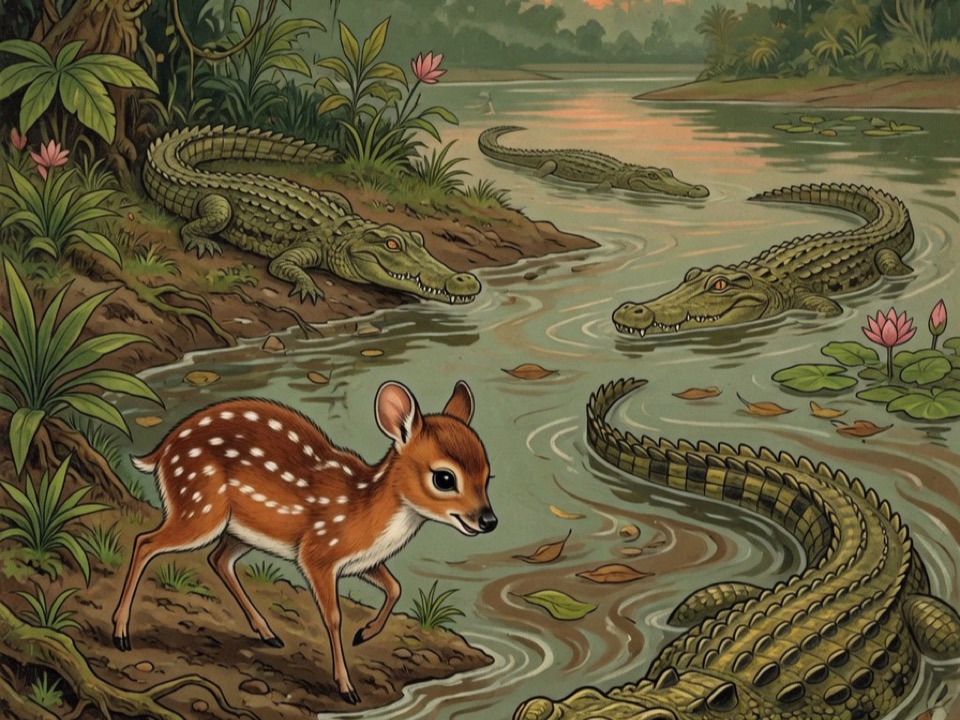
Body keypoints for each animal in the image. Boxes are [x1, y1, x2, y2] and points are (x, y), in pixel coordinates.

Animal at [112, 380, 496, 705]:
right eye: (444, 478)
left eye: (487, 474)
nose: (489, 520)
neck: (365, 511)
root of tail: (161, 451)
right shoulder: (318, 553)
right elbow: (334, 616)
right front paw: (346, 687)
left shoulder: (362, 561)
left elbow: (395, 587)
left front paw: (365, 633)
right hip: (200, 507)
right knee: (145, 541)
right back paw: (120, 633)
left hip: (241, 529)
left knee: (218, 560)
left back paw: (268, 633)